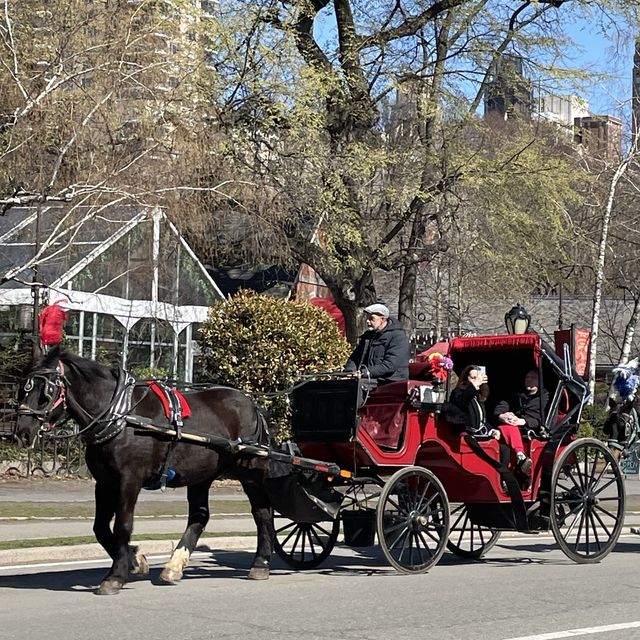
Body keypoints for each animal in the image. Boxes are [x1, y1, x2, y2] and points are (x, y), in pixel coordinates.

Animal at [15, 344, 274, 596]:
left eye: (45, 392)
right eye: (23, 387)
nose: (22, 432)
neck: (120, 416)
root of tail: (253, 405)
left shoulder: (130, 479)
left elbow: (122, 526)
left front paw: (115, 576)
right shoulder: (105, 481)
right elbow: (100, 528)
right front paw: (135, 559)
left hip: (250, 473)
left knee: (261, 512)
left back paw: (260, 563)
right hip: (202, 474)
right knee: (200, 515)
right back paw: (174, 566)